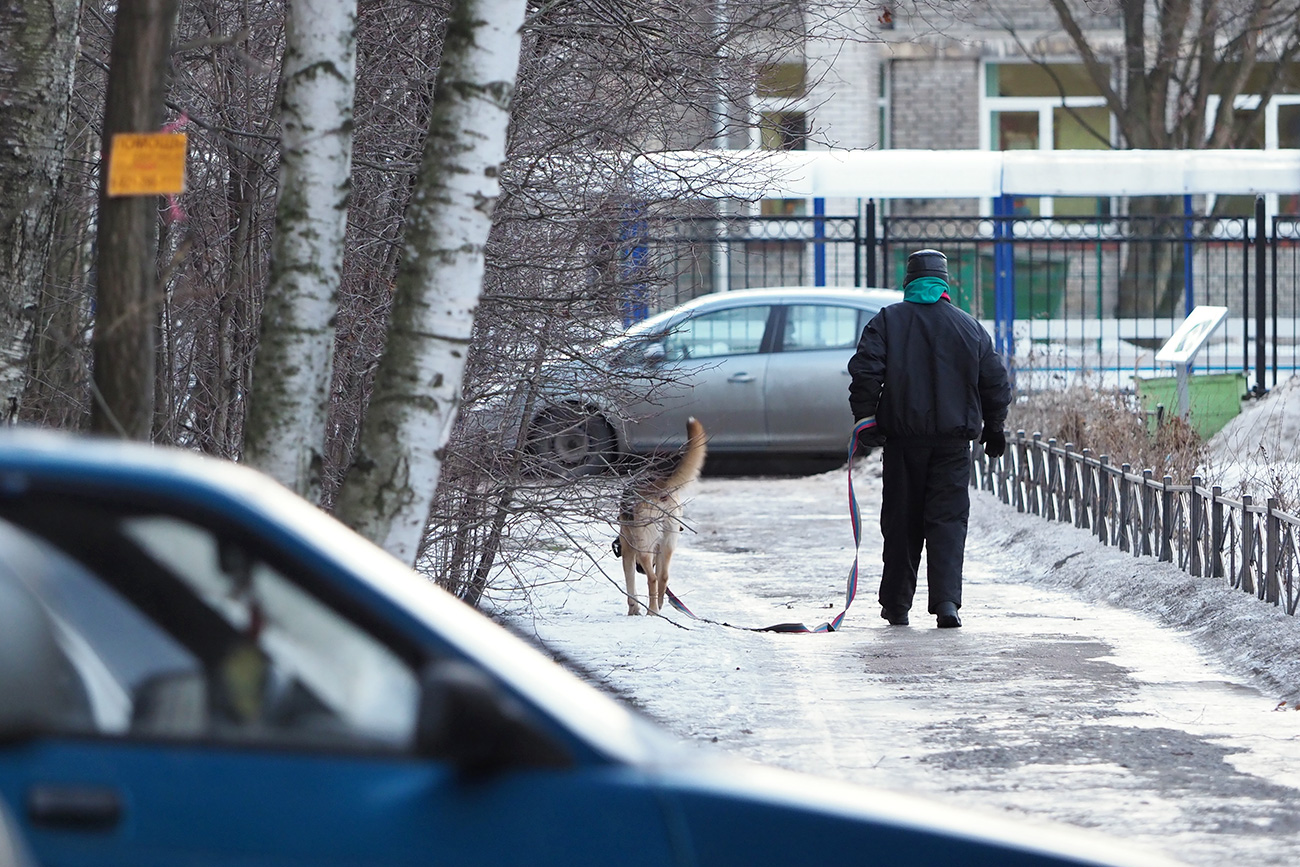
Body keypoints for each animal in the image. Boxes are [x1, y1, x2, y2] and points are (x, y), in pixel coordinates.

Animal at [611, 418, 707, 616]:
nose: (640, 569)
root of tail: (660, 484)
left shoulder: (629, 551)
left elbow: (630, 587)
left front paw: (633, 610)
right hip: (668, 542)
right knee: (663, 576)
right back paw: (658, 608)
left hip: (644, 546)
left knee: (653, 578)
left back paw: (652, 611)